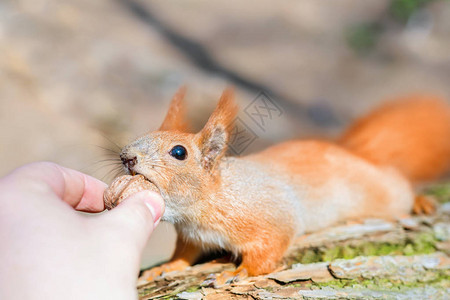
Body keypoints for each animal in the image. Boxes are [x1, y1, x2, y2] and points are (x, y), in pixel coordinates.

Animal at [118, 86, 450, 282]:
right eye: (144, 133)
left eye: (178, 152)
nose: (126, 156)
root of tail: (358, 153)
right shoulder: (192, 237)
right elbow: (184, 256)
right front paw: (166, 267)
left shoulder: (269, 215)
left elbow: (272, 244)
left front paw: (240, 272)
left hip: (385, 193)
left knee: (400, 185)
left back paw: (420, 201)